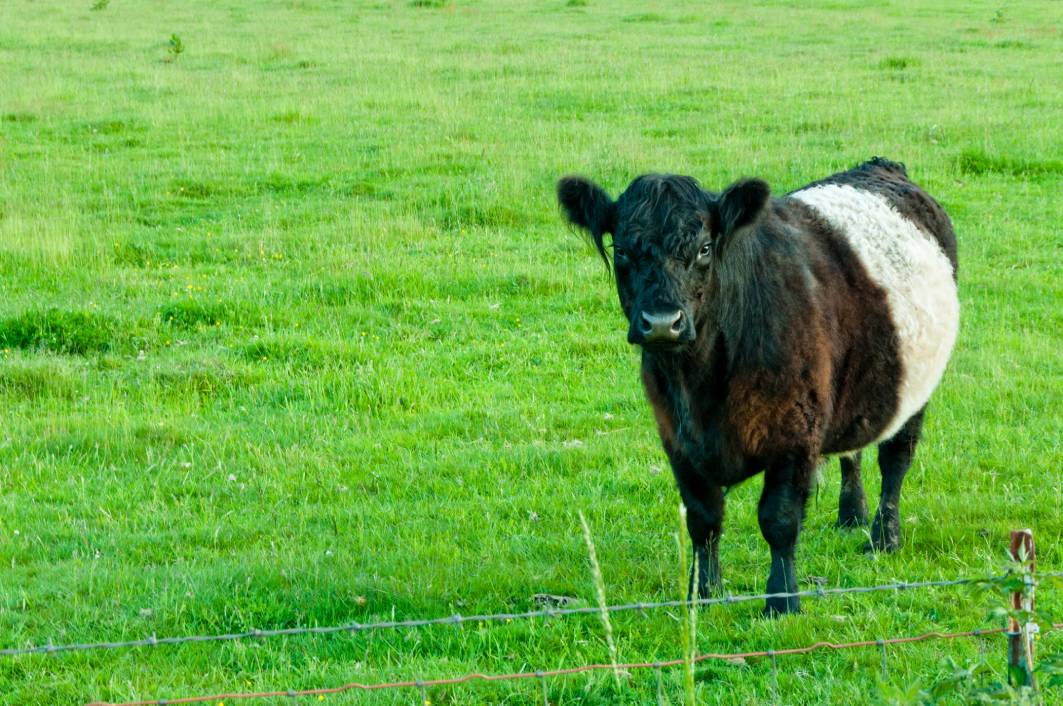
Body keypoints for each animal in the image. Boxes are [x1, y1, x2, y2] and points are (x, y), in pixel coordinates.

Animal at [561, 158, 960, 612]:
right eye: (622, 250)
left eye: (704, 248)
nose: (662, 322)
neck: (701, 387)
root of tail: (881, 166)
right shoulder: (676, 439)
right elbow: (703, 519)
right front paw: (704, 595)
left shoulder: (794, 433)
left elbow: (779, 519)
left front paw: (782, 601)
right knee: (852, 451)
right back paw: (850, 515)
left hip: (916, 388)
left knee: (895, 459)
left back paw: (883, 538)